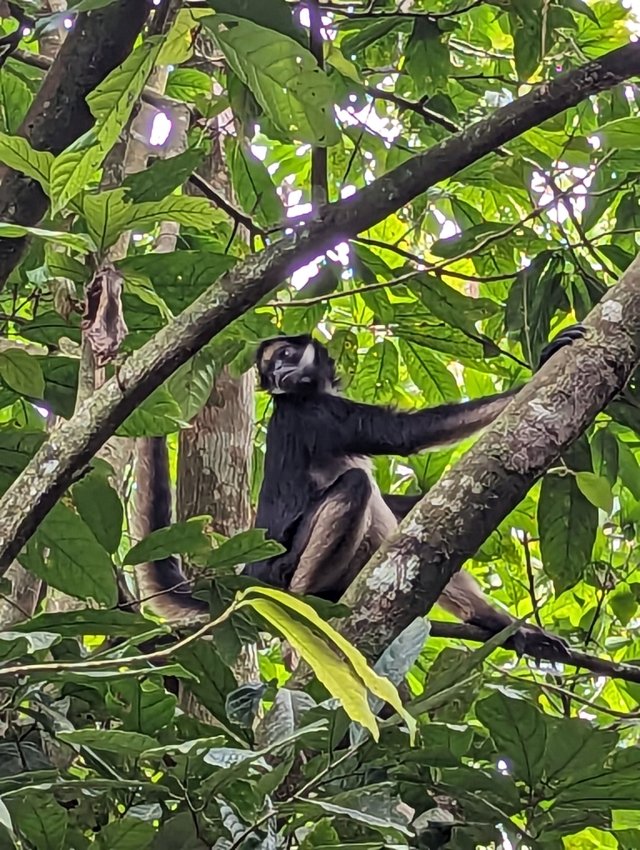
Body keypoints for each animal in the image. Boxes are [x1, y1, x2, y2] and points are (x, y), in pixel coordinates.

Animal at [136, 326, 584, 653]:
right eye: (272, 370)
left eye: (284, 357)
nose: (278, 375)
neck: (304, 394)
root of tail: (252, 574)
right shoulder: (315, 412)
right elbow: (406, 435)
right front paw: (539, 370)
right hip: (285, 567)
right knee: (356, 485)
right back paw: (309, 606)